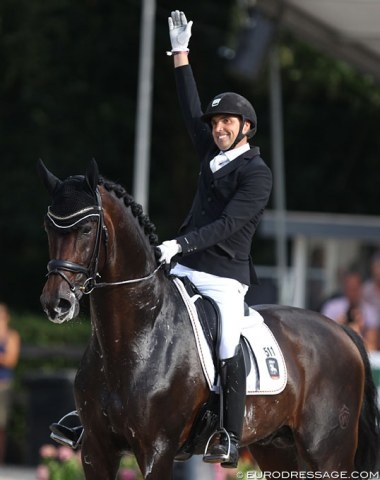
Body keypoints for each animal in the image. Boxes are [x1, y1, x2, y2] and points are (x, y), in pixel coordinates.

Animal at [38, 159, 380, 478]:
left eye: (86, 229)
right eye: (49, 228)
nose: (57, 303)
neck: (135, 337)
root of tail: (342, 331)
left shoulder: (157, 451)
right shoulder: (96, 450)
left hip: (328, 453)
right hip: (276, 448)